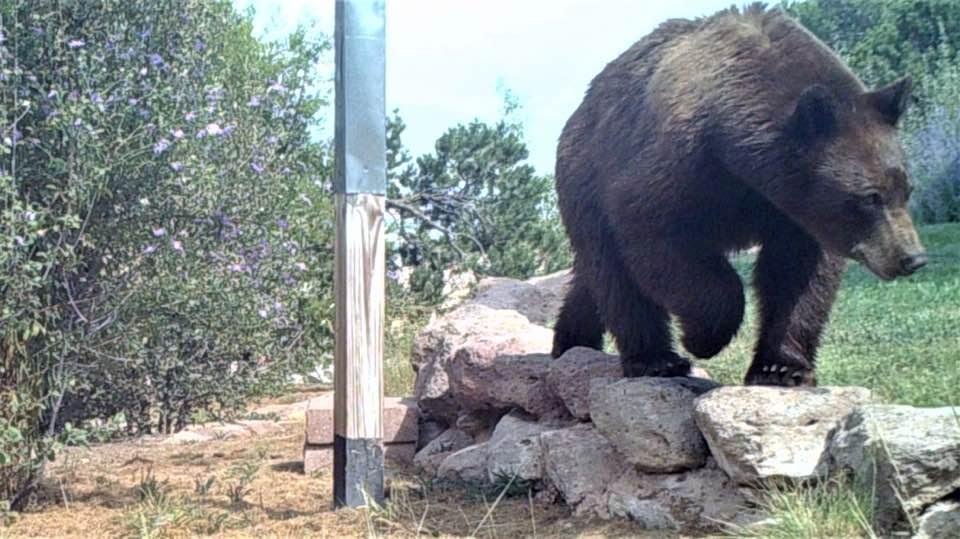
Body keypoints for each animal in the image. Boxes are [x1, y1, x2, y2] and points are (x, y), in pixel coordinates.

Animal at [550, 3, 926, 386]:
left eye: (906, 189)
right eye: (870, 196)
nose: (912, 258)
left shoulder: (794, 212)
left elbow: (798, 275)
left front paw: (782, 367)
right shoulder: (677, 166)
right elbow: (655, 233)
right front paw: (702, 338)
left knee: (592, 282)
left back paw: (572, 338)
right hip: (587, 178)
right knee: (615, 275)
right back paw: (654, 359)